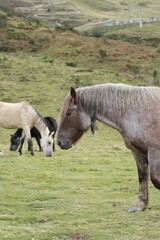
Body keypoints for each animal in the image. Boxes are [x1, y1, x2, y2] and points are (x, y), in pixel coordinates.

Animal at [57, 83, 160, 212]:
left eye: (69, 113)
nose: (59, 141)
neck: (137, 113)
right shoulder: (137, 152)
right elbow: (142, 176)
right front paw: (140, 204)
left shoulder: (154, 151)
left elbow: (155, 179)